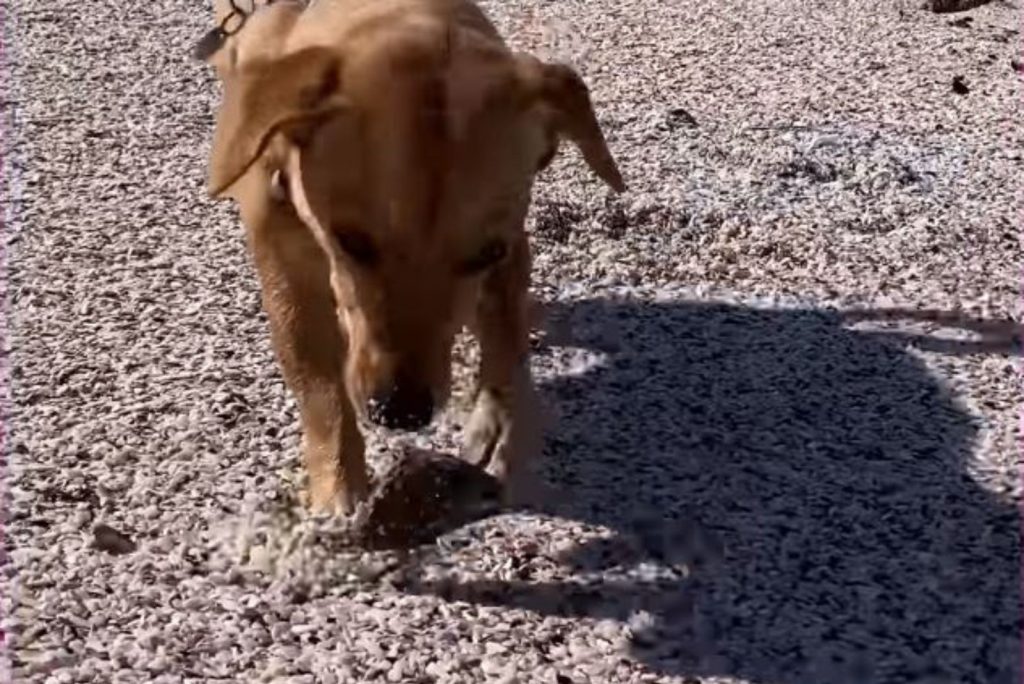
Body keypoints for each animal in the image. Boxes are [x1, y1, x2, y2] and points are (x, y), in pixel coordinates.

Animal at [195, 0, 618, 511]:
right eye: (351, 240)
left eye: (487, 252)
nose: (402, 412)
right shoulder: (279, 253)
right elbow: (316, 379)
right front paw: (338, 489)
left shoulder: (511, 240)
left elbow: (507, 327)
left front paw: (500, 422)